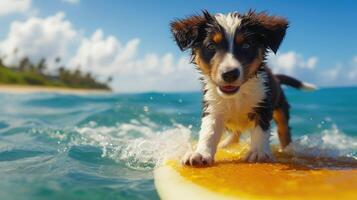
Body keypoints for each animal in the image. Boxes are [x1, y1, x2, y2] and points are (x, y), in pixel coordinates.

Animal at [170, 10, 314, 167]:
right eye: (211, 46)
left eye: (246, 45)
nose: (230, 74)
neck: (237, 95)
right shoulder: (214, 107)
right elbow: (209, 132)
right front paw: (200, 154)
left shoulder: (263, 104)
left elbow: (260, 130)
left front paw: (258, 152)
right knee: (236, 133)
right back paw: (227, 143)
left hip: (280, 106)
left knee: (284, 130)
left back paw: (286, 149)